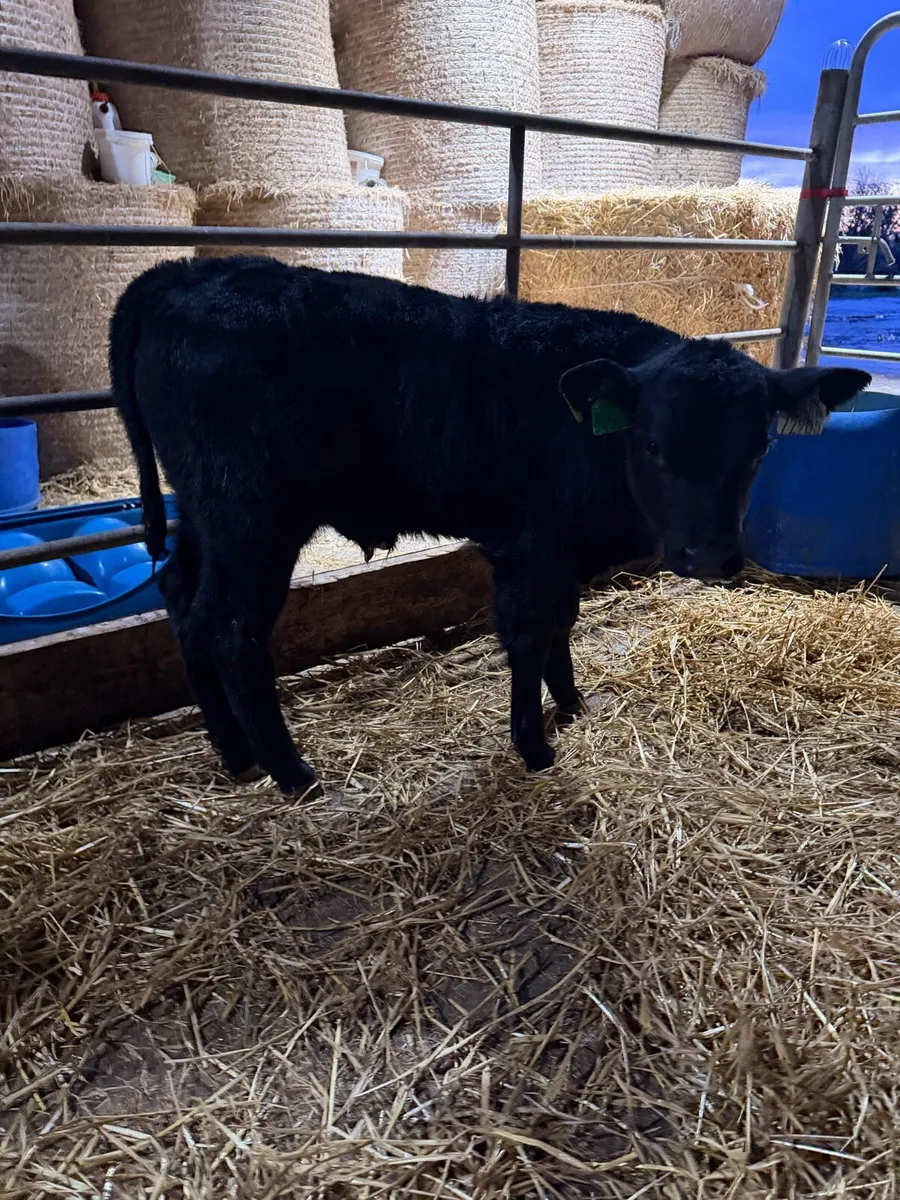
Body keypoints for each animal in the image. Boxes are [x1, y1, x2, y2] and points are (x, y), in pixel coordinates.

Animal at [110, 256, 870, 796]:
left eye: (760, 447)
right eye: (652, 444)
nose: (709, 556)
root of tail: (178, 275)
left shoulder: (562, 554)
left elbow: (563, 626)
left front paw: (573, 705)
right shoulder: (531, 550)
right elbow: (530, 638)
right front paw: (534, 746)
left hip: (202, 513)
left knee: (180, 599)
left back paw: (235, 753)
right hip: (251, 518)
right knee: (230, 628)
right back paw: (291, 773)